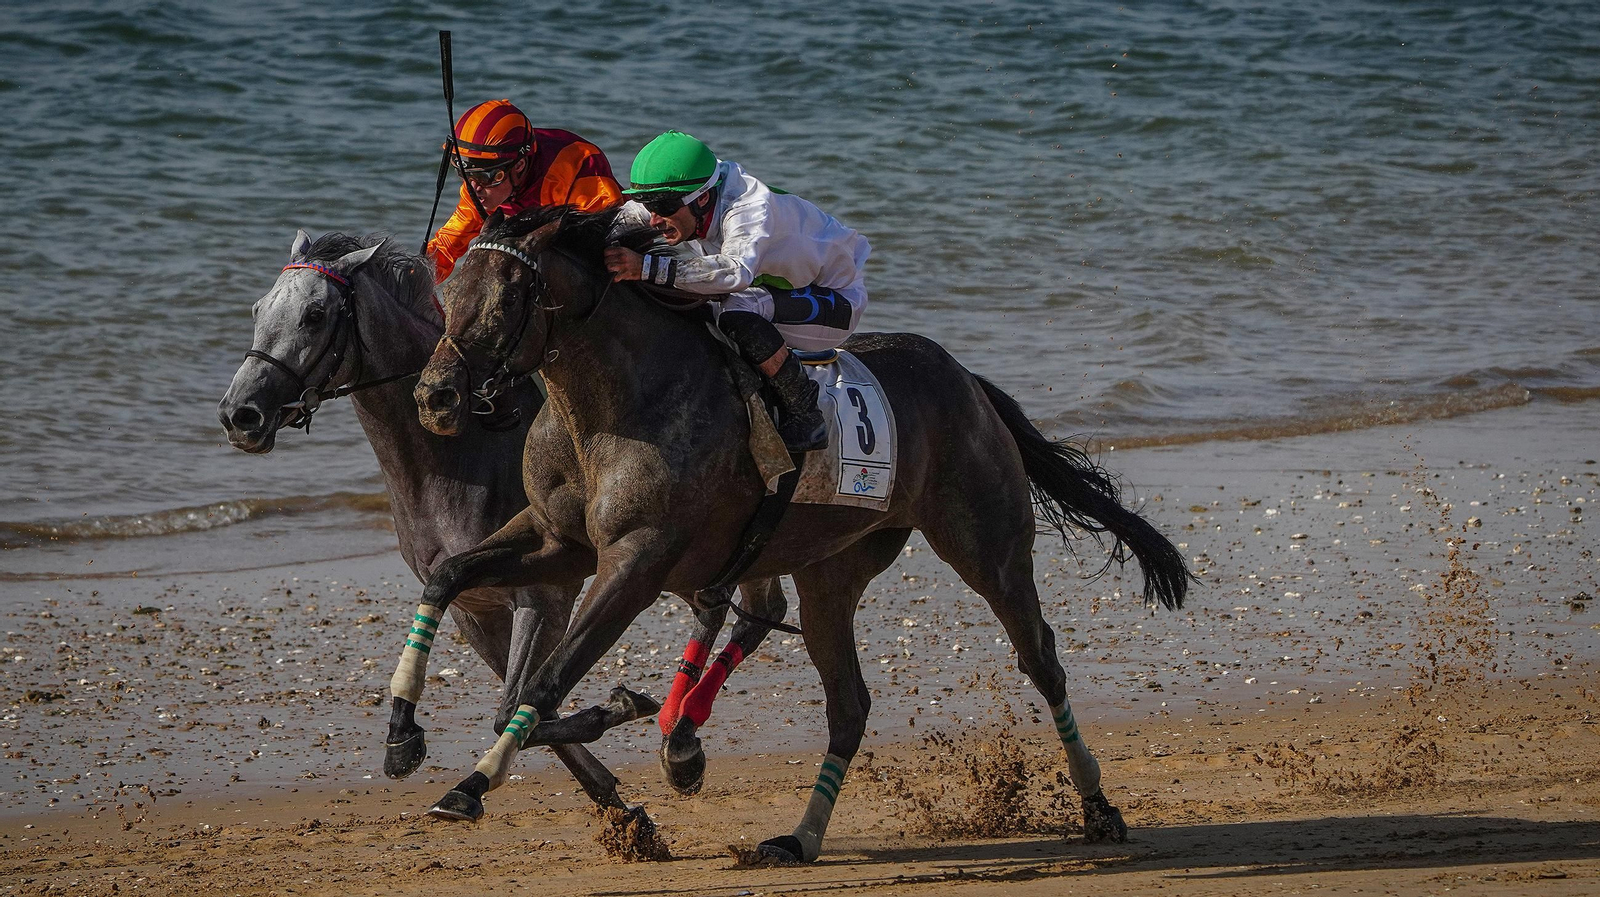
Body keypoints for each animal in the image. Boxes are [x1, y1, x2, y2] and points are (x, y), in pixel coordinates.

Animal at [400, 205, 1193, 863]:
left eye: (508, 297)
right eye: (449, 290)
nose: (434, 396)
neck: (616, 405)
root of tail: (967, 380)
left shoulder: (637, 559)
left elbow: (543, 682)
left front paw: (482, 778)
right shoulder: (556, 540)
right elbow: (450, 585)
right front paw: (405, 732)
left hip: (987, 549)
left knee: (1041, 661)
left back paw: (1098, 807)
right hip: (829, 572)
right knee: (848, 704)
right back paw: (798, 836)